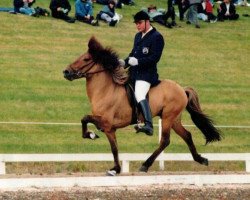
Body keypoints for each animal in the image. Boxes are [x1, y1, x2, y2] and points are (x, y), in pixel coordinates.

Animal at [62, 36, 221, 176]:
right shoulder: (110, 129)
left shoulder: (106, 123)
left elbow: (85, 119)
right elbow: (114, 148)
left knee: (165, 140)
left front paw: (92, 135)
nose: (66, 72)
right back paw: (201, 159)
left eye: (86, 59)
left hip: (168, 117)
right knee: (187, 135)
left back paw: (145, 164)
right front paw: (115, 168)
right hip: (174, 119)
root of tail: (182, 88)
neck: (105, 90)